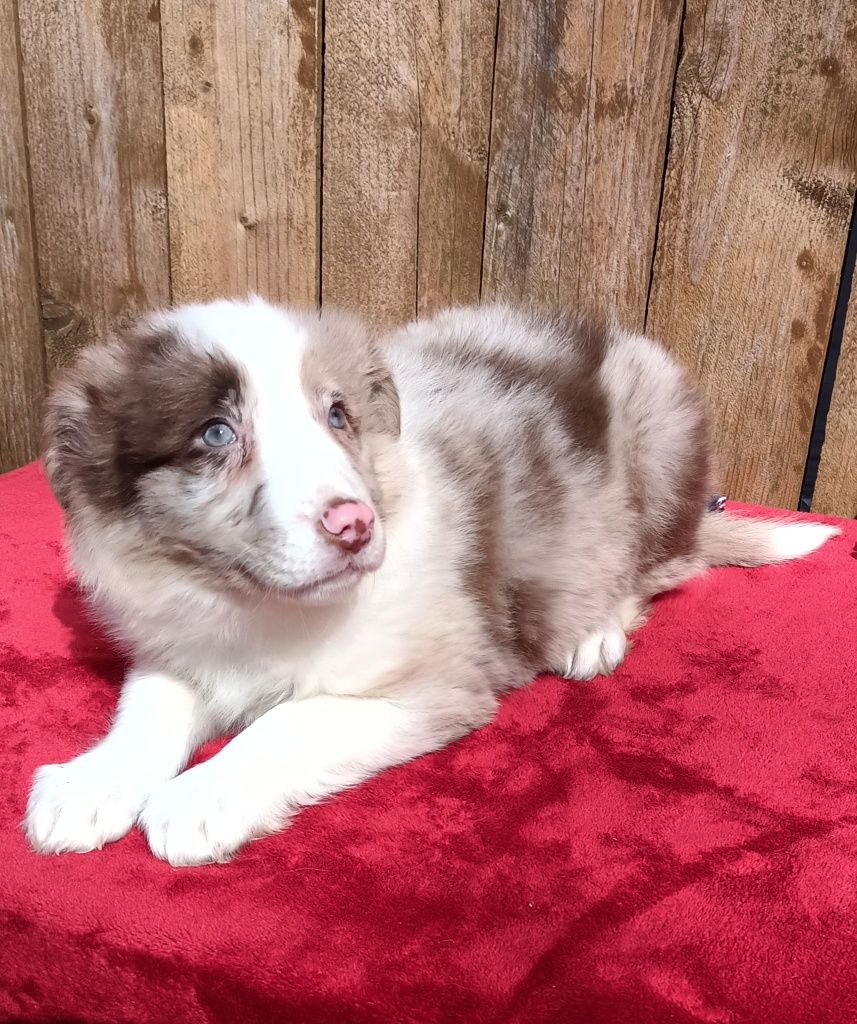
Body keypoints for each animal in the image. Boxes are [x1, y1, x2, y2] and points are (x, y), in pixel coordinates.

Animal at [21, 299, 835, 864]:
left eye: (338, 415)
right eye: (215, 433)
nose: (354, 524)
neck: (259, 608)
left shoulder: (432, 682)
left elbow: (290, 721)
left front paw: (199, 798)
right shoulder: (178, 644)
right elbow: (148, 709)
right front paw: (90, 786)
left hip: (658, 436)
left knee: (657, 566)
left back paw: (593, 630)